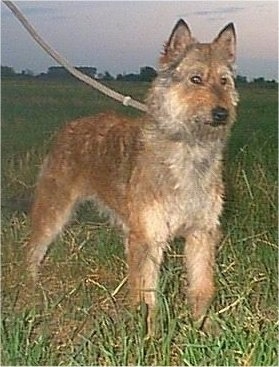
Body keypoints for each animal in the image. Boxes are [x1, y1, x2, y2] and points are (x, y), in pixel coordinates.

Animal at [27, 20, 240, 334]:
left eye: (224, 81)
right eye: (196, 79)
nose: (222, 113)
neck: (188, 150)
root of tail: (70, 126)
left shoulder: (201, 233)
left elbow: (202, 287)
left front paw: (205, 328)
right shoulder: (149, 239)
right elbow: (147, 295)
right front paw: (149, 336)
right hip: (54, 209)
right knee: (34, 248)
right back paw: (29, 286)